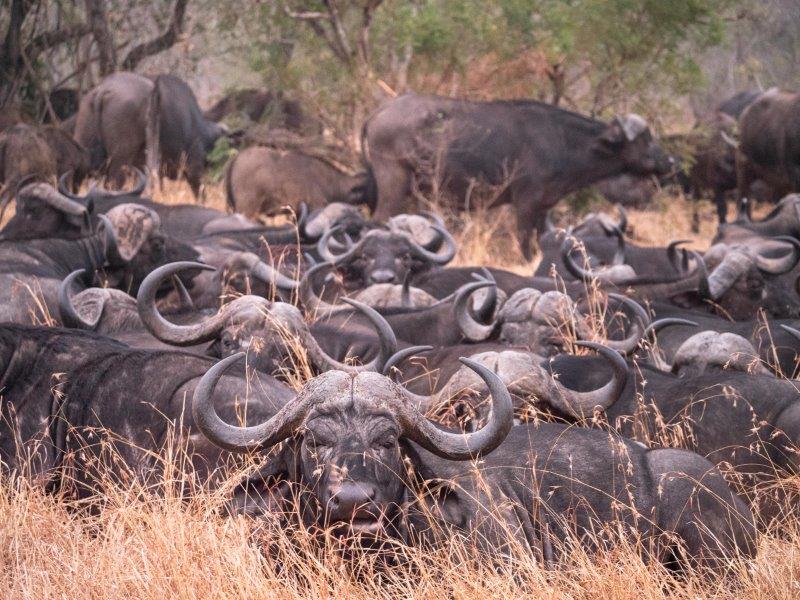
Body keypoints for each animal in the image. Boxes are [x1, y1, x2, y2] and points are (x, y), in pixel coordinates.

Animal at [364, 95, 676, 258]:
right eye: (645, 140)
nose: (670, 161)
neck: (563, 142)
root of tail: (379, 111)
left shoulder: (543, 208)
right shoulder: (526, 204)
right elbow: (526, 245)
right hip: (394, 183)